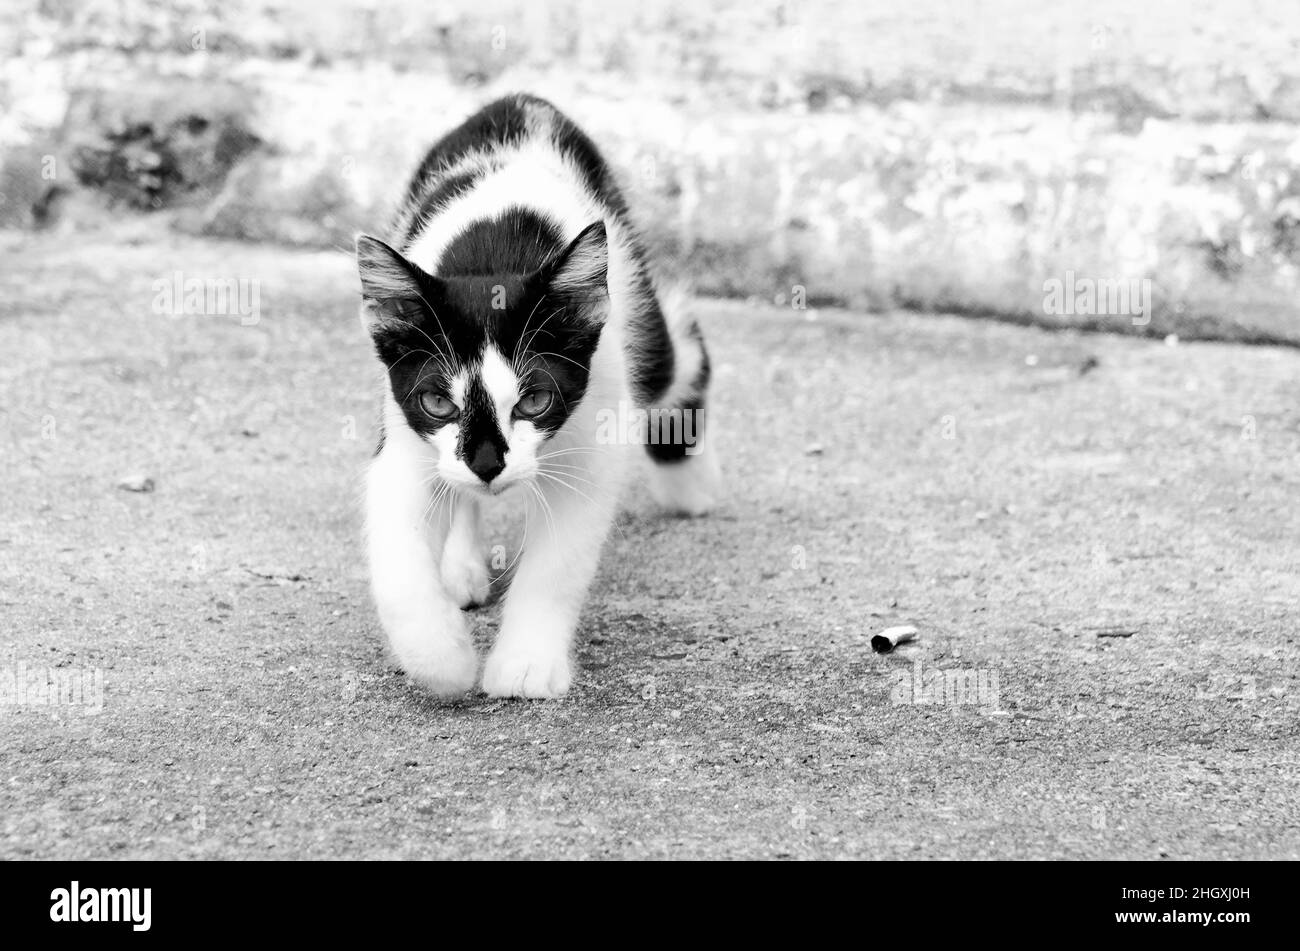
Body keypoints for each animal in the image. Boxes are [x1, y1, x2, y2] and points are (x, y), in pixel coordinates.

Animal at [356, 94, 722, 696]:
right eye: (437, 403)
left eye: (534, 402)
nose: (487, 466)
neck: (492, 255)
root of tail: (520, 100)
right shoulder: (404, 434)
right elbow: (399, 551)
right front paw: (442, 659)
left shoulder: (596, 433)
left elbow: (559, 563)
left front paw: (525, 666)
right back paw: (461, 565)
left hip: (633, 311)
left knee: (673, 355)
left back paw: (691, 485)